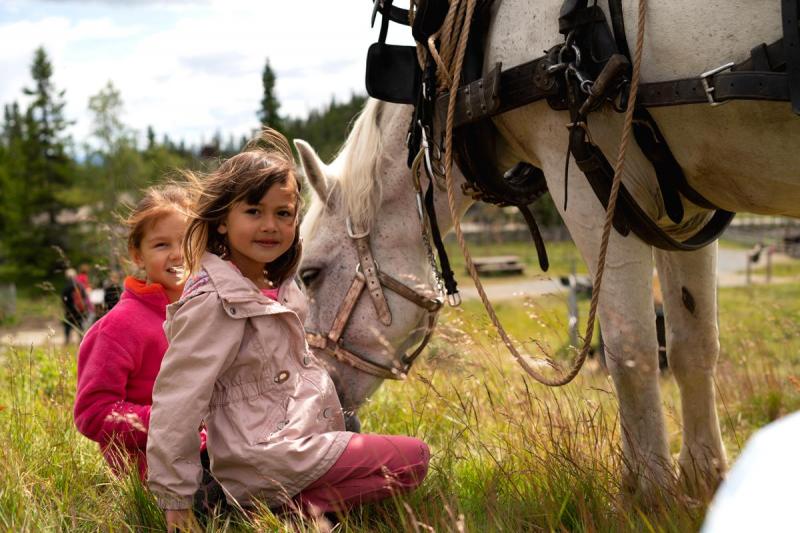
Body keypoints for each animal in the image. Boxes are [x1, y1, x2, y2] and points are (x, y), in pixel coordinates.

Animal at [296, 1, 796, 498]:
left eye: (309, 273)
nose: (327, 406)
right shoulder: (683, 210)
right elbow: (691, 343)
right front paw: (703, 478)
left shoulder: (596, 185)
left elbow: (629, 348)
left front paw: (650, 492)